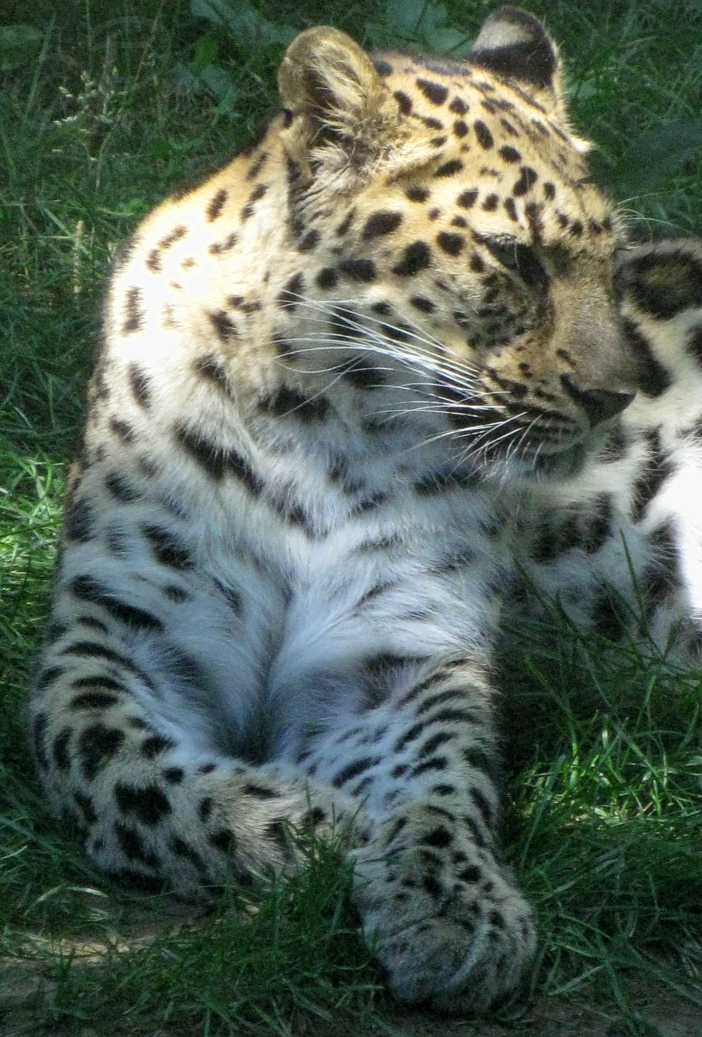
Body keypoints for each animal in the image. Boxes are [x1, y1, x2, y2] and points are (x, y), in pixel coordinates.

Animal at [30, 6, 700, 1012]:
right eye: (515, 260)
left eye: (609, 263)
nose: (615, 395)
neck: (311, 422)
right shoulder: (122, 631)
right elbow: (125, 767)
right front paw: (308, 823)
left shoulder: (392, 648)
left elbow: (438, 783)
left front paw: (453, 906)